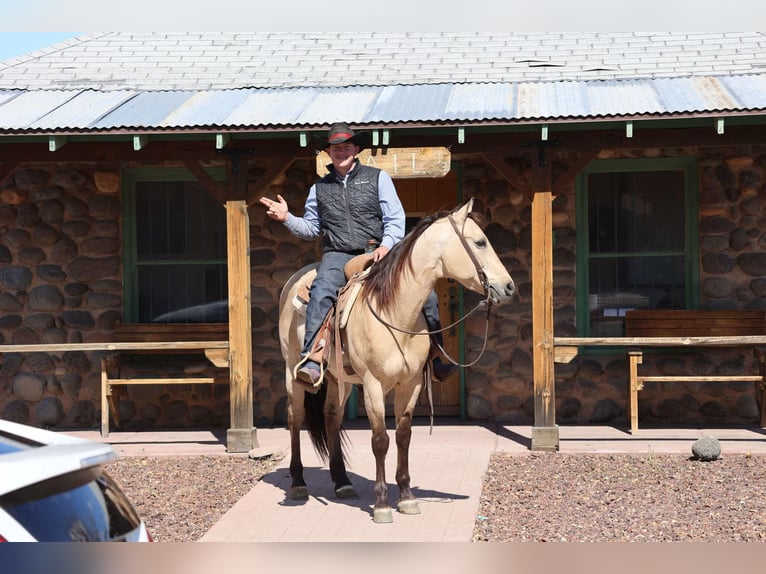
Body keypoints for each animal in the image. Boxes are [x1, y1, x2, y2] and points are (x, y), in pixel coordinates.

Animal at [278, 199, 516, 528]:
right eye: (480, 242)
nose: (508, 287)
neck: (393, 311)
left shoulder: (411, 384)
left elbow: (403, 436)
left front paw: (406, 497)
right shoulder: (373, 385)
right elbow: (380, 440)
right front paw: (381, 504)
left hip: (339, 381)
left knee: (331, 418)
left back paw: (342, 482)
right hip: (292, 372)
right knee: (295, 419)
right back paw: (299, 483)